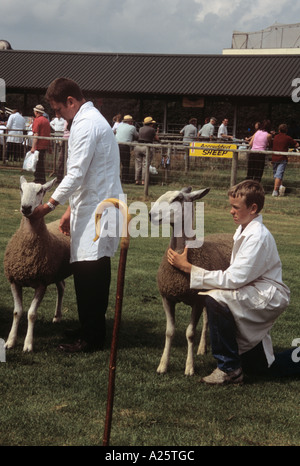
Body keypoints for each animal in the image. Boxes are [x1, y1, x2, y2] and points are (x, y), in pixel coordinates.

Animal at [4, 177, 71, 352]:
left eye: (41, 191)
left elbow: (31, 314)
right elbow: (17, 312)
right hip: (56, 272)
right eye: (21, 189)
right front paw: (10, 341)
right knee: (61, 288)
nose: (26, 207)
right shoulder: (14, 281)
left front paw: (28, 344)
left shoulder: (42, 283)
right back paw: (57, 316)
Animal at [150, 186, 232, 374]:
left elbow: (190, 333)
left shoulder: (197, 301)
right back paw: (202, 349)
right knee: (208, 319)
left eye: (178, 198)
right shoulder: (167, 297)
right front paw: (163, 365)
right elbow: (169, 331)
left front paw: (189, 367)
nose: (151, 215)